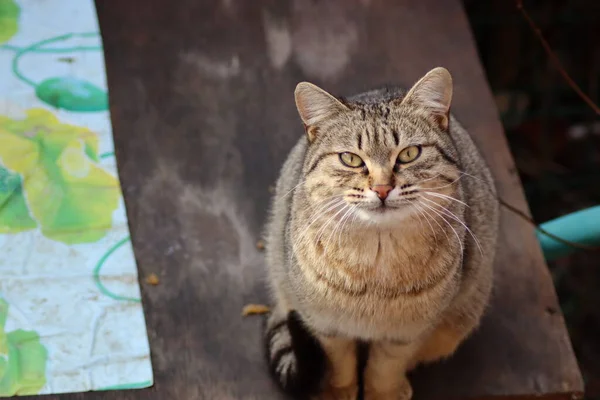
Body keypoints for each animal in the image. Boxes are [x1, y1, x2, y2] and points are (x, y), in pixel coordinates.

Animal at [264, 67, 500, 398]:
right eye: (350, 158)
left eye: (410, 153)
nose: (382, 188)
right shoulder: (325, 325)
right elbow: (341, 363)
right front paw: (338, 390)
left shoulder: (408, 333)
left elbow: (385, 367)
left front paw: (384, 391)